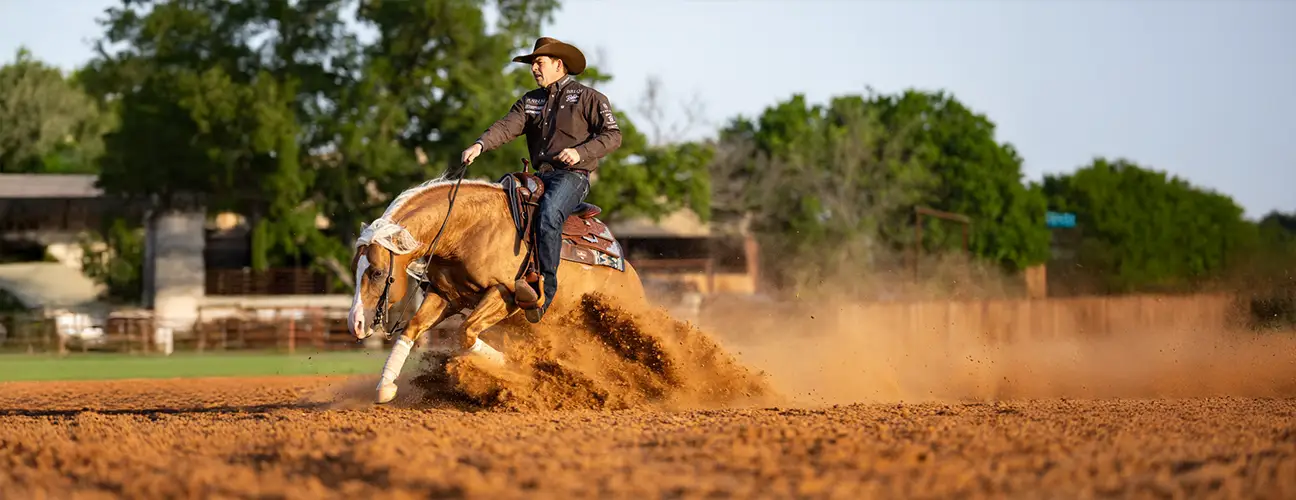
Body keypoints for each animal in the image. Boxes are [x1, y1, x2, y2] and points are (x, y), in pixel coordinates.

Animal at [347, 171, 648, 404]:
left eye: (377, 272)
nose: (356, 323)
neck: (469, 229)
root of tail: (628, 271)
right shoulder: (445, 296)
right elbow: (412, 328)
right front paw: (386, 386)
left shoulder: (506, 295)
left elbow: (467, 332)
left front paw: (514, 369)